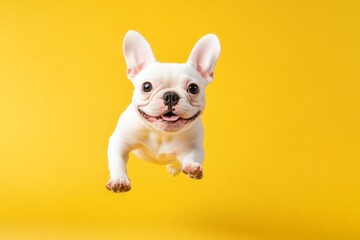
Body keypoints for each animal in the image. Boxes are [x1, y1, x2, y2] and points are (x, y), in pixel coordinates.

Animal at [105, 30, 221, 192]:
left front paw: (192, 167)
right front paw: (119, 180)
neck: (161, 134)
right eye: (146, 86)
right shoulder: (119, 142)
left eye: (193, 88)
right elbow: (117, 161)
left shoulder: (193, 147)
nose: (170, 95)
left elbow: (191, 156)